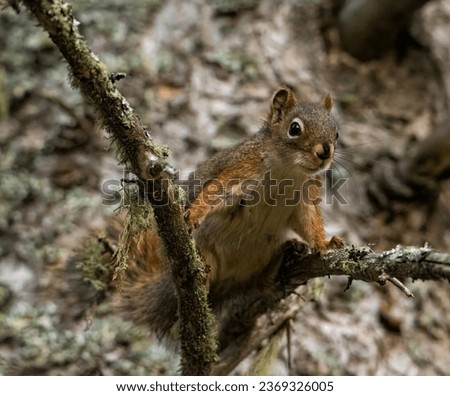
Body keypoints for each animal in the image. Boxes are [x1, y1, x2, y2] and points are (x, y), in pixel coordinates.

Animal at [118, 86, 342, 344]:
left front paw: (324, 243)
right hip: (203, 252)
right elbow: (216, 194)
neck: (289, 170)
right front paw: (194, 213)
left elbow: (310, 224)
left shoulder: (305, 199)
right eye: (294, 128)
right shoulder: (242, 170)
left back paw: (284, 258)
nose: (325, 151)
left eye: (336, 132)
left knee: (263, 283)